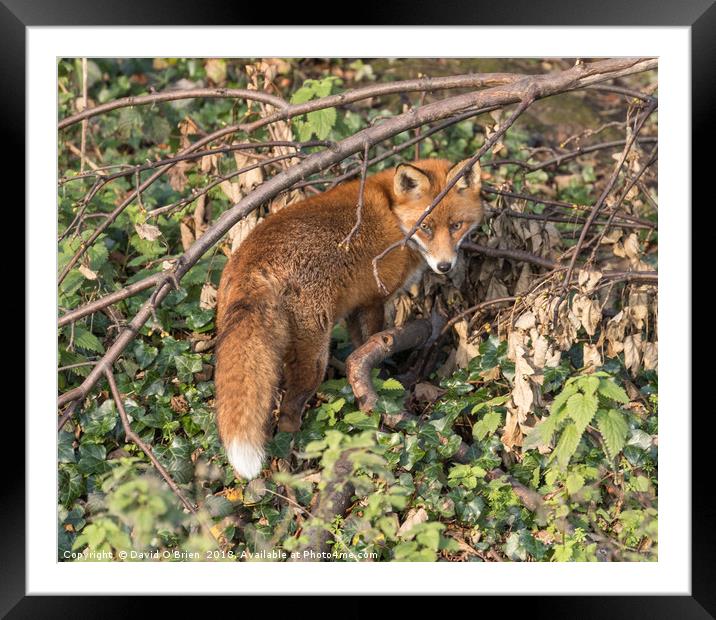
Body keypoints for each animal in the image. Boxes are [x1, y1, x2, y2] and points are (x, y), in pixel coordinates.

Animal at [213, 159, 482, 480]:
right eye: (426, 227)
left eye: (456, 226)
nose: (444, 266)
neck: (394, 216)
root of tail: (253, 259)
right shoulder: (374, 300)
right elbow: (373, 344)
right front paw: (380, 384)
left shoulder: (355, 306)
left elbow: (358, 346)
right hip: (315, 356)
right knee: (289, 412)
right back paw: (293, 461)